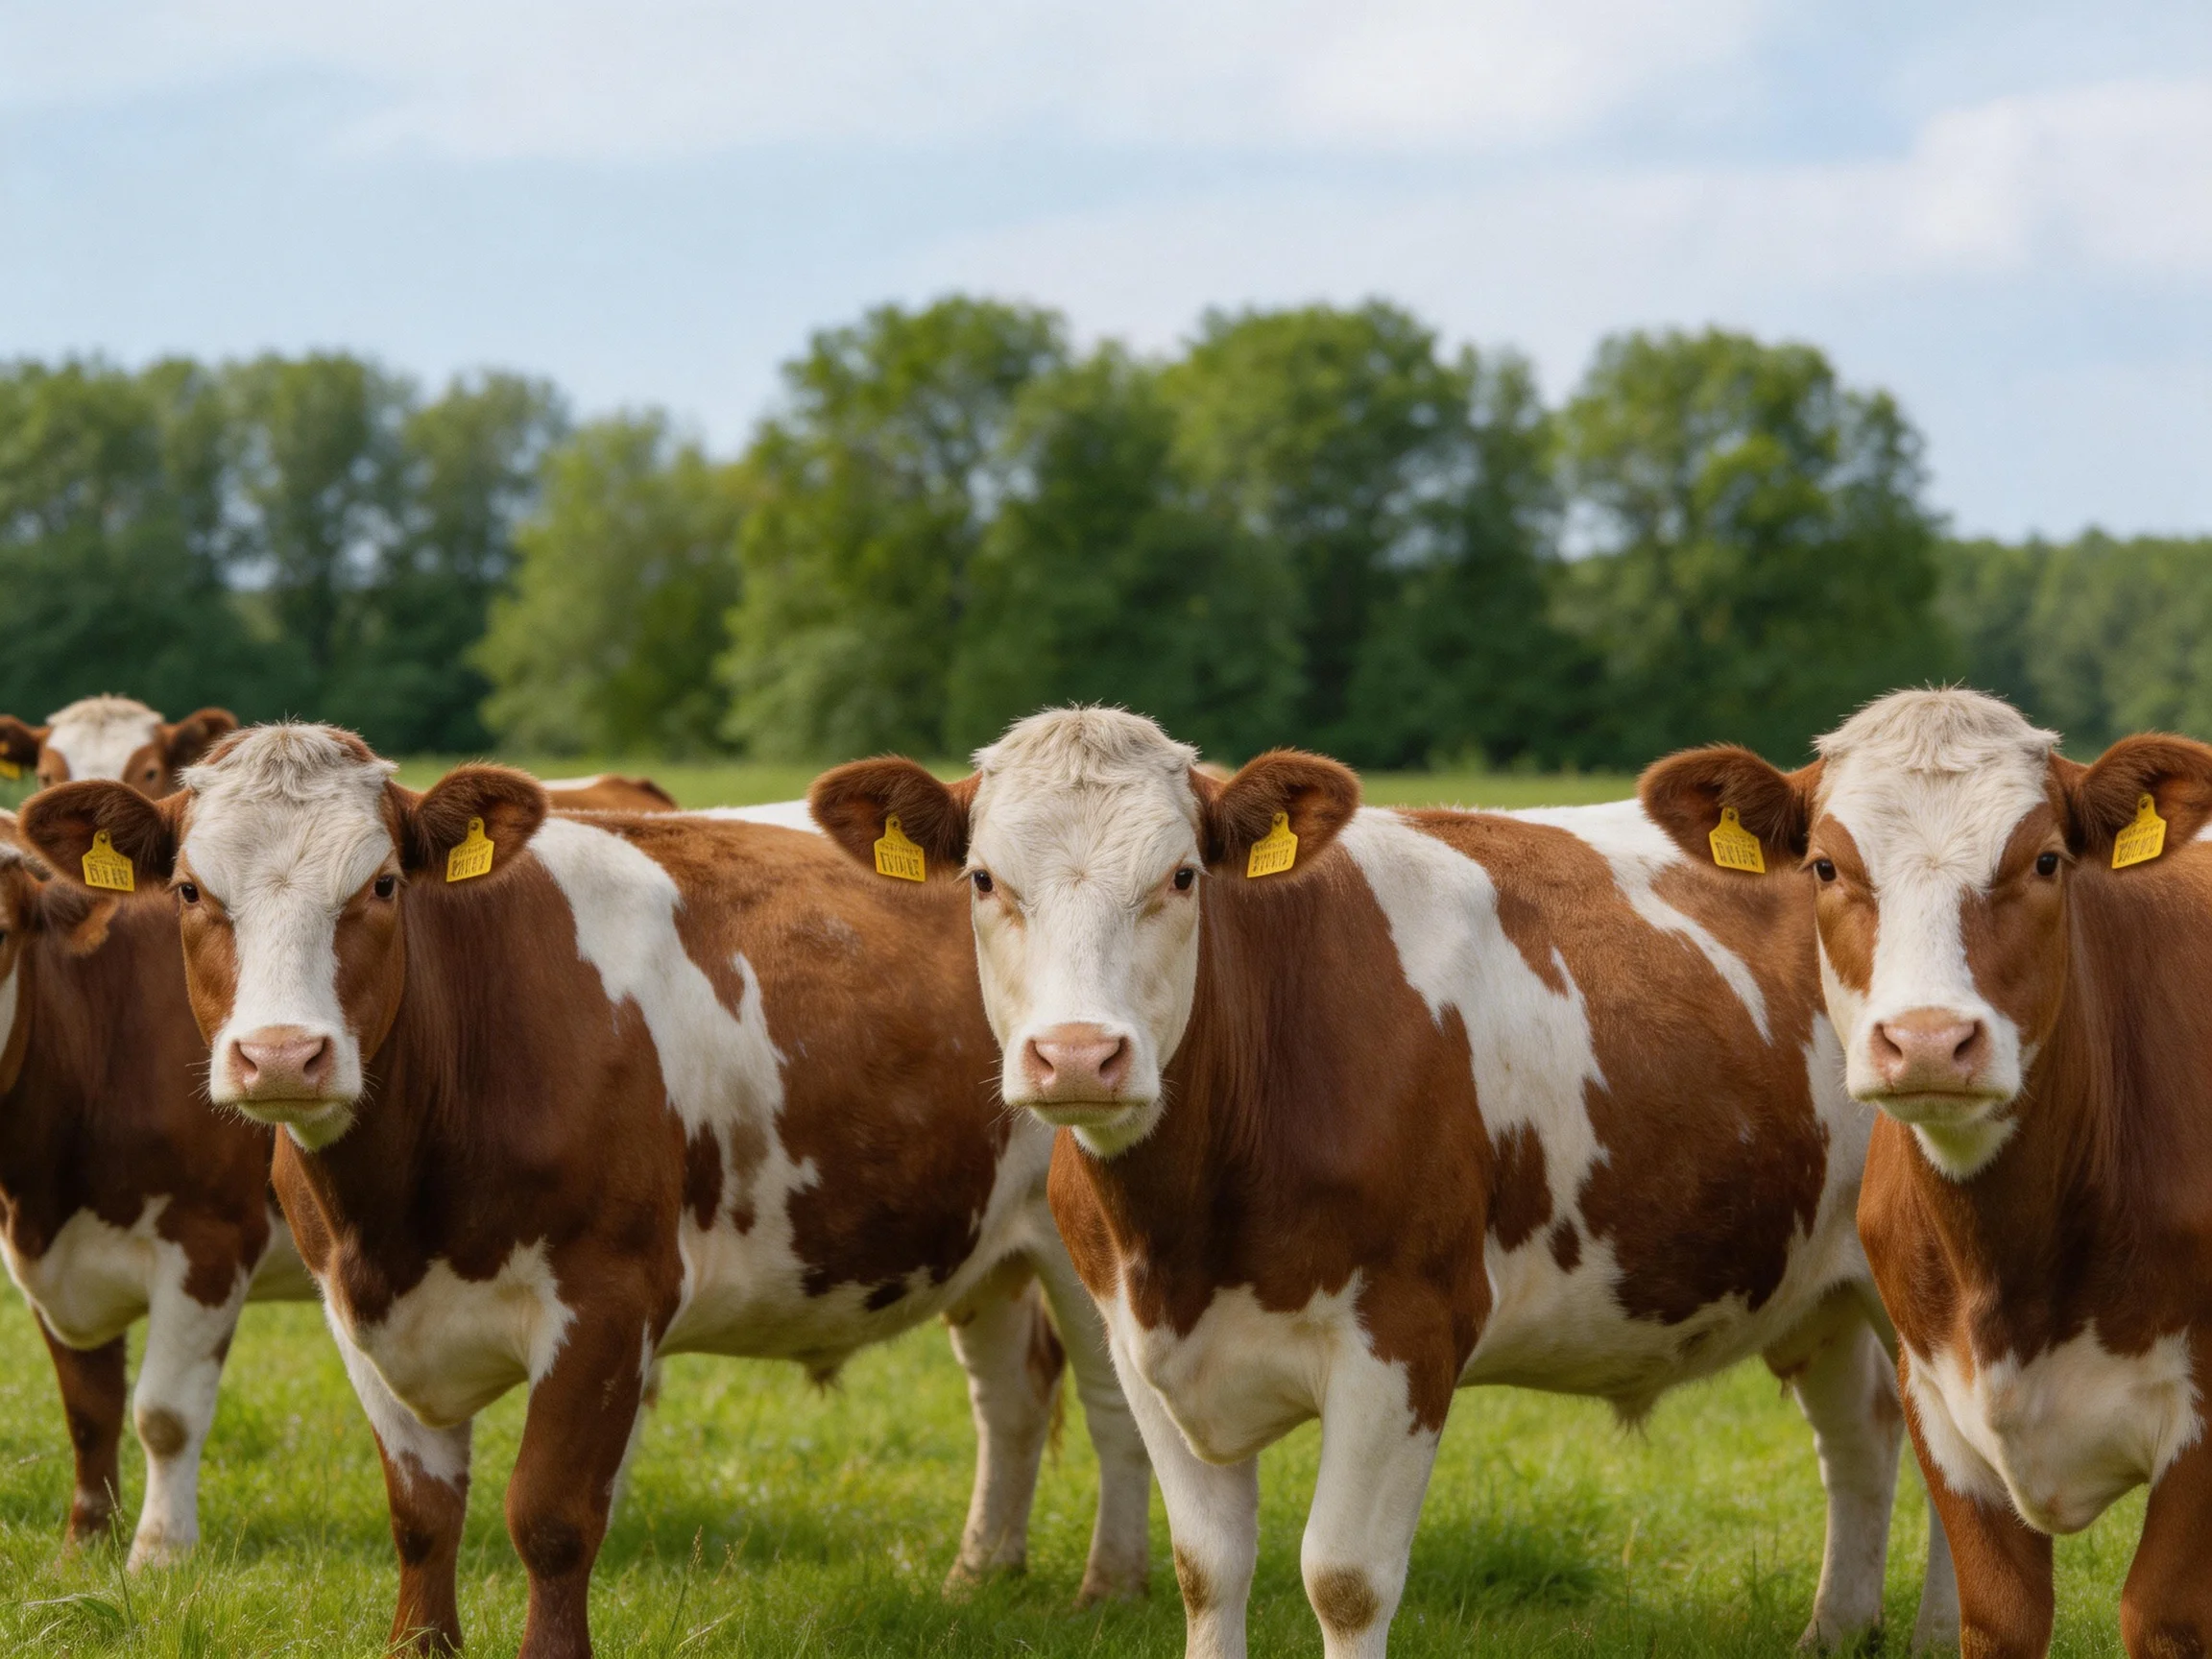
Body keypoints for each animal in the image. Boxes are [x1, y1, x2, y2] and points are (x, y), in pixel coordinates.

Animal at [808, 706, 1958, 1659]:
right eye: (983, 881)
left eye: (1181, 877)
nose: (1080, 1057)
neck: (1188, 1230)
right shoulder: (1141, 1345)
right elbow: (1206, 1572)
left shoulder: (1406, 1335)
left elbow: (1345, 1580)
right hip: (1817, 1284)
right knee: (1864, 1437)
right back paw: (1834, 1630)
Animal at [1641, 687, 2212, 1659]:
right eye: (1825, 866)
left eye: (2047, 859)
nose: (1930, 1040)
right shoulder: (1940, 1404)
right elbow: (2000, 1617)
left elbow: (2161, 1615)